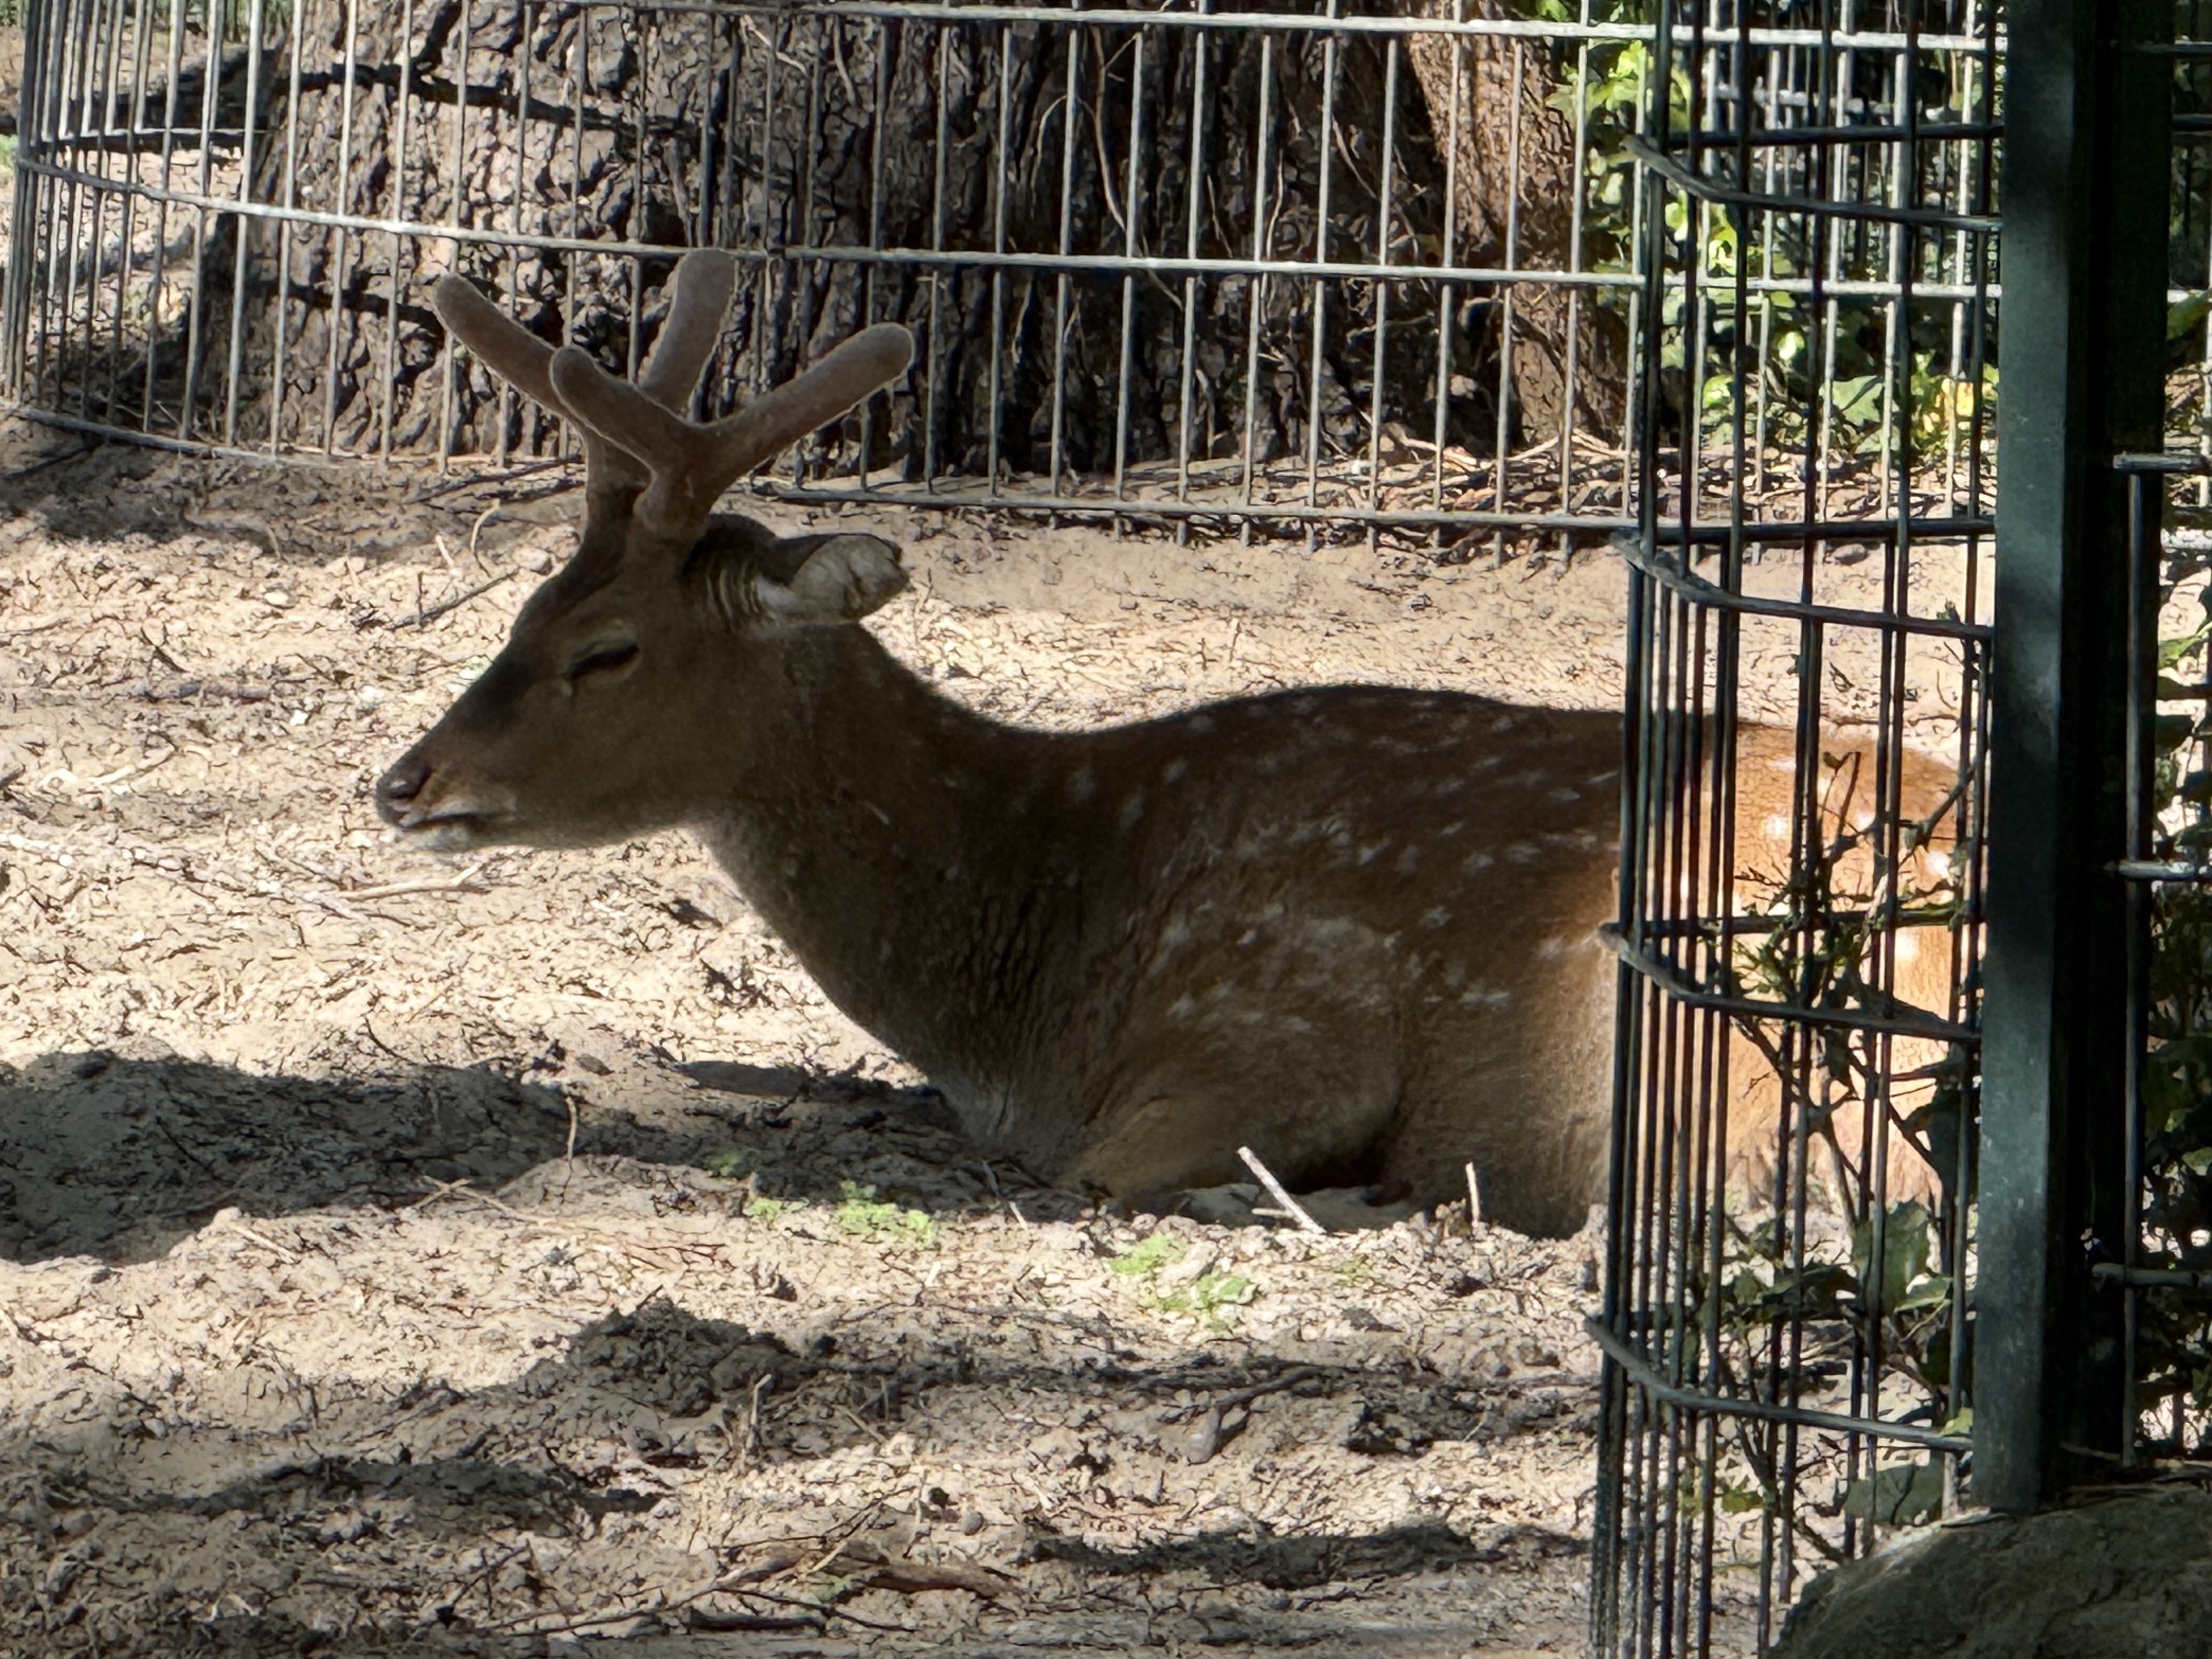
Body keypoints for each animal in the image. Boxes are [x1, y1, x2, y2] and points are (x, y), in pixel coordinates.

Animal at [375, 249, 1965, 1238]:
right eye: (528, 599)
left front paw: (1365, 1197)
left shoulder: (1280, 1020)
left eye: (607, 649)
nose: (406, 780)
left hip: (1764, 1064)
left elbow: (1102, 1176)